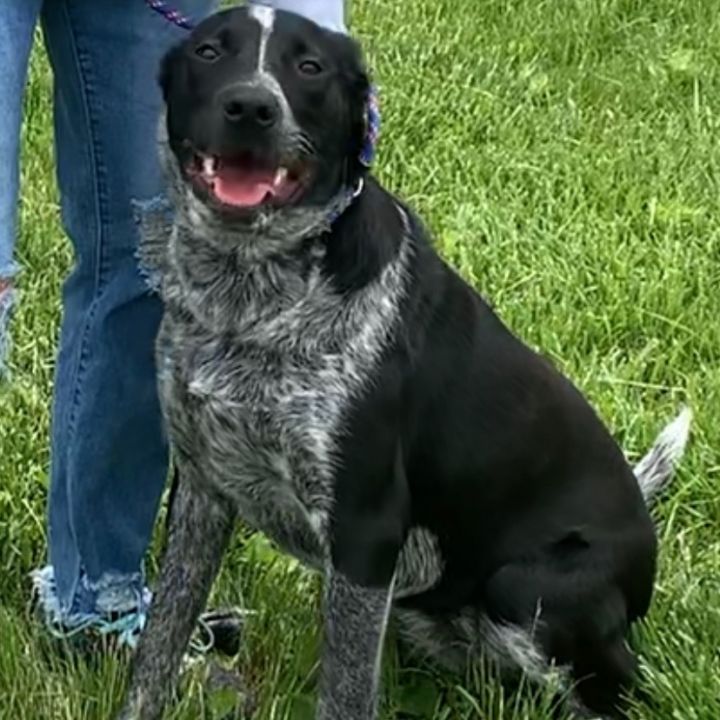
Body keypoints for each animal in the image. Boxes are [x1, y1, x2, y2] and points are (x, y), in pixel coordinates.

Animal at [119, 7, 692, 720]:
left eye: (309, 67)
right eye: (208, 52)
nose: (251, 105)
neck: (248, 302)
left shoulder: (365, 532)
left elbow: (343, 694)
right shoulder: (201, 487)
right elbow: (158, 647)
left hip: (527, 592)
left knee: (623, 688)